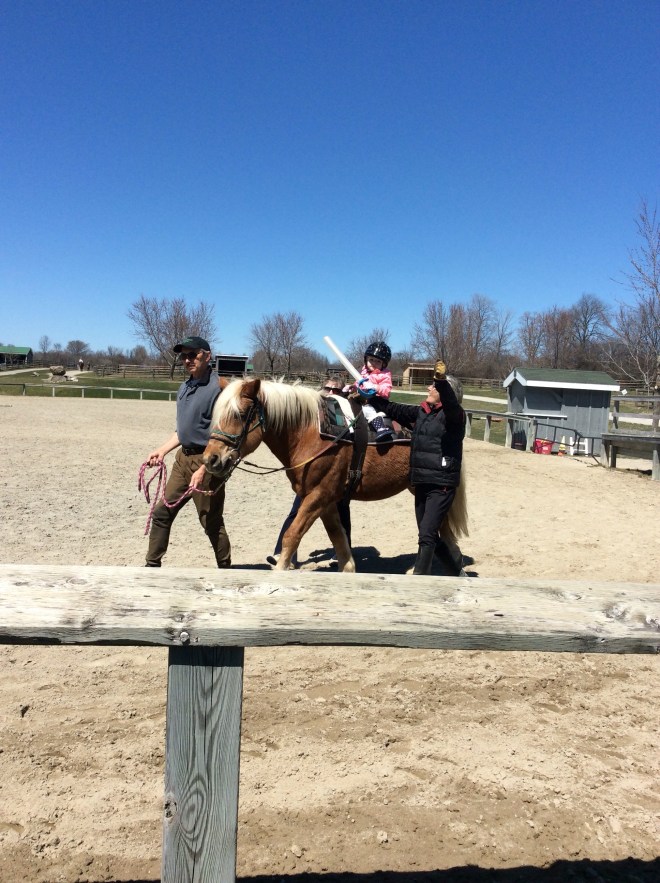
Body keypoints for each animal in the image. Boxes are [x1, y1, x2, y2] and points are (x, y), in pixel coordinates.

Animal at [202, 377, 468, 573]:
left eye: (240, 414)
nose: (210, 459)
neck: (310, 433)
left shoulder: (318, 496)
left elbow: (292, 536)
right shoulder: (325, 501)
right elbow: (339, 542)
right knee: (444, 535)